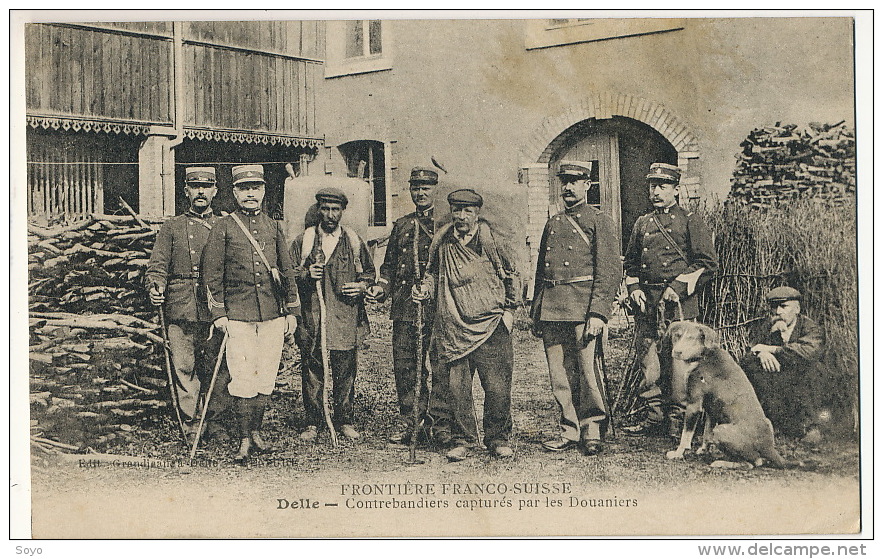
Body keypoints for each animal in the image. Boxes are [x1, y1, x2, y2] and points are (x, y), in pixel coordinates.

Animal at [656, 322, 796, 470]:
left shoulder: (694, 405)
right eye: (677, 336)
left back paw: (721, 462)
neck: (704, 356)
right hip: (767, 422)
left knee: (752, 463)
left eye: (691, 338)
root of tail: (768, 447)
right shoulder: (711, 410)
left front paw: (678, 453)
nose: (677, 352)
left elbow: (686, 435)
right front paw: (703, 450)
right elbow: (706, 433)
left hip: (721, 430)